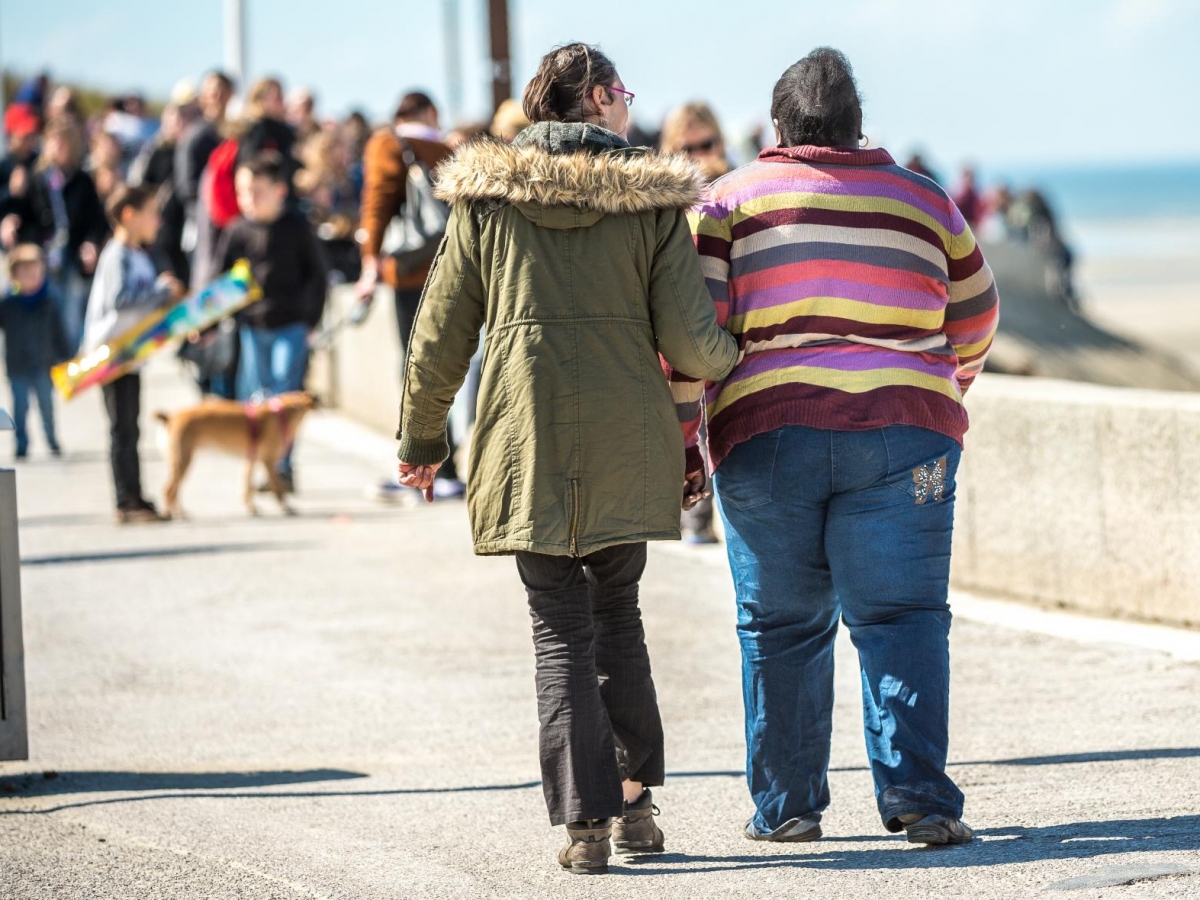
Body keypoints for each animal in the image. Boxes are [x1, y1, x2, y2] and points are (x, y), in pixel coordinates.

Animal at [153, 393, 314, 520]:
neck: (281, 415)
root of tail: (171, 418)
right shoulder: (268, 461)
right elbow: (277, 489)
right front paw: (286, 507)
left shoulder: (251, 461)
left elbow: (247, 486)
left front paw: (251, 508)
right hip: (183, 461)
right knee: (169, 490)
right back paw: (169, 514)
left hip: (182, 462)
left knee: (175, 490)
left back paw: (180, 512)